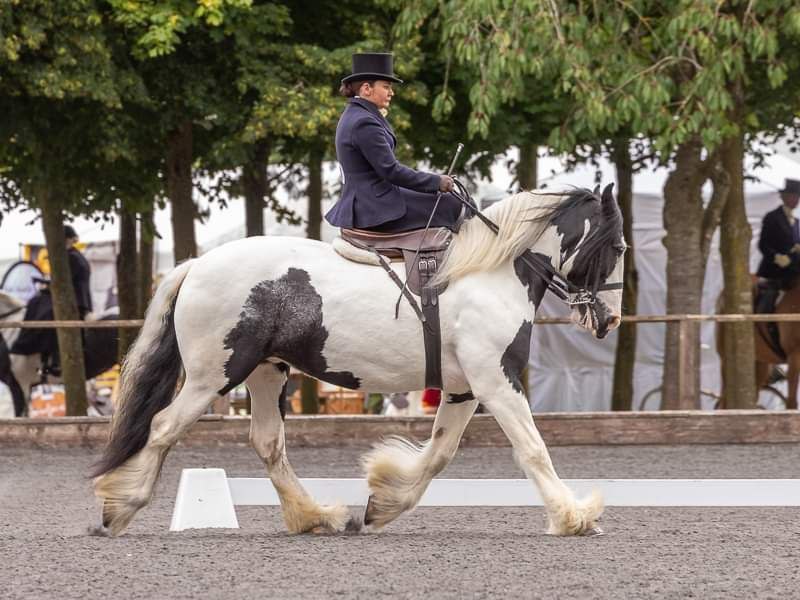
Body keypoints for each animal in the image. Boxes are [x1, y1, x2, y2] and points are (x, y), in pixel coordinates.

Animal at [92, 185, 624, 536]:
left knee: (267, 443)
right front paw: (574, 516)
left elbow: (439, 454)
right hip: (212, 376)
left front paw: (384, 503)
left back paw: (313, 517)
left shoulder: (465, 387)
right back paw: (120, 508)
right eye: (618, 246)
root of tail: (197, 263)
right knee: (163, 427)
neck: (491, 272)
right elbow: (532, 448)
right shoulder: (496, 380)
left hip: (266, 373)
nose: (611, 320)